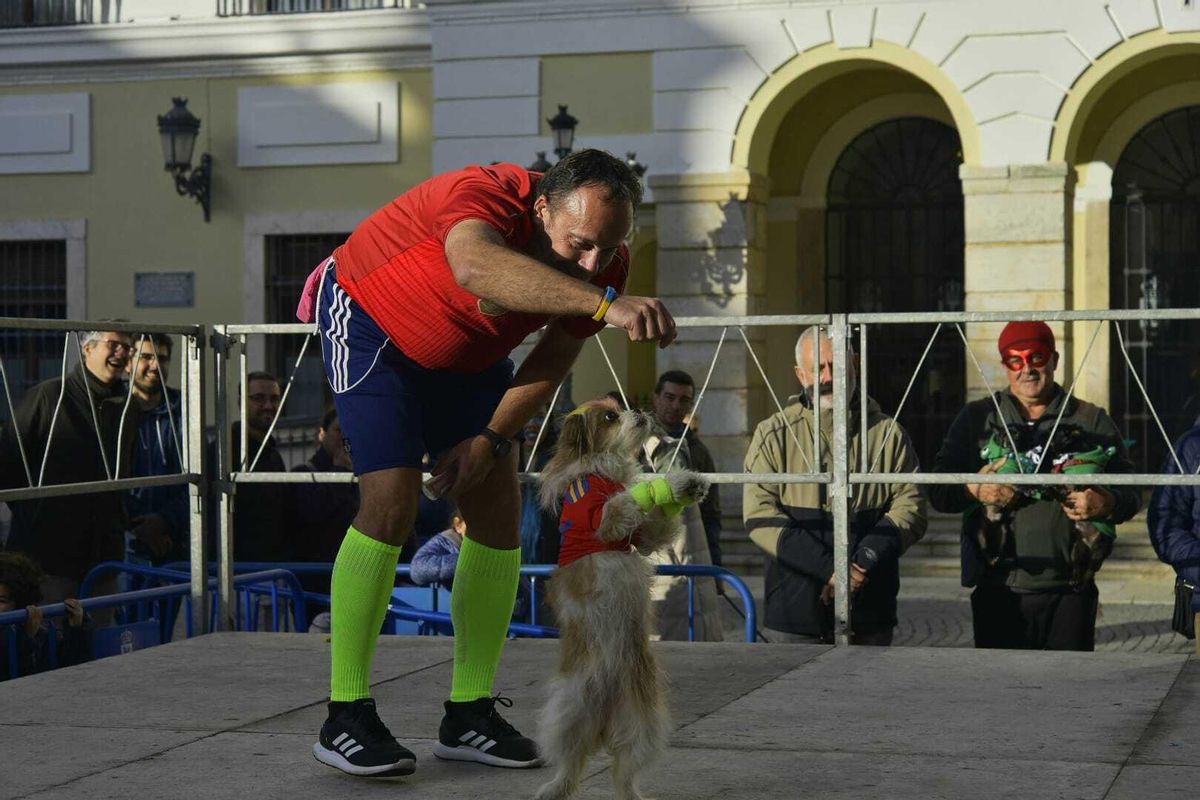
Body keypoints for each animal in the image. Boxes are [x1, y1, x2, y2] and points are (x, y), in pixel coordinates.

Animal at [532, 402, 700, 800]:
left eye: (620, 409)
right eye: (609, 417)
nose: (638, 411)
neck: (601, 471)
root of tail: (603, 721)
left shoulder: (644, 536)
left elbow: (654, 523)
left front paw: (684, 485)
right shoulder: (604, 518)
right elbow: (626, 498)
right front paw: (667, 484)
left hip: (642, 723)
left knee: (623, 773)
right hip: (567, 714)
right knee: (570, 763)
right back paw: (553, 787)